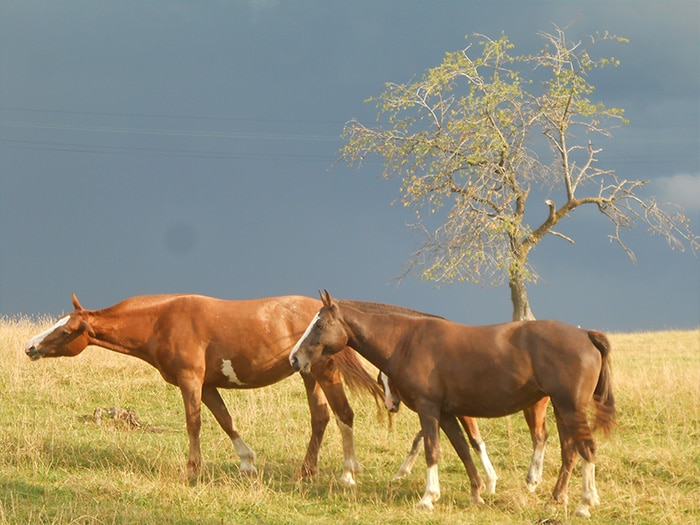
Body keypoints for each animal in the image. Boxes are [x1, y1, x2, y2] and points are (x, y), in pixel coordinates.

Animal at [24, 290, 382, 484]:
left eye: (66, 331)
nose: (30, 347)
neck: (162, 321)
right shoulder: (208, 386)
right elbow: (226, 421)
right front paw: (247, 462)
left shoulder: (190, 381)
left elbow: (193, 423)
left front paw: (192, 470)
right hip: (309, 376)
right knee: (321, 417)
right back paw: (306, 471)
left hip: (323, 373)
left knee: (341, 415)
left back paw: (343, 473)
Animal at [288, 290, 612, 516]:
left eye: (320, 325)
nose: (294, 358)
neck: (407, 341)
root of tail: (586, 335)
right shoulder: (446, 414)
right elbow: (463, 449)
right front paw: (477, 492)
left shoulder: (429, 409)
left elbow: (432, 450)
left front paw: (428, 497)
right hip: (561, 409)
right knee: (570, 450)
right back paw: (559, 497)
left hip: (568, 408)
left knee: (586, 448)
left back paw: (584, 503)